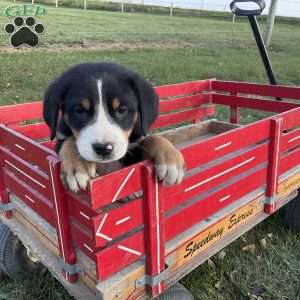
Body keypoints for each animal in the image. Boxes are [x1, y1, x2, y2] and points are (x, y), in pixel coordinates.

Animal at [43, 63, 184, 192]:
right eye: (79, 110)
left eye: (122, 109)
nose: (103, 149)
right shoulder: (60, 137)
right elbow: (69, 141)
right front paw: (78, 167)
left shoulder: (134, 149)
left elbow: (152, 139)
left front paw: (171, 159)